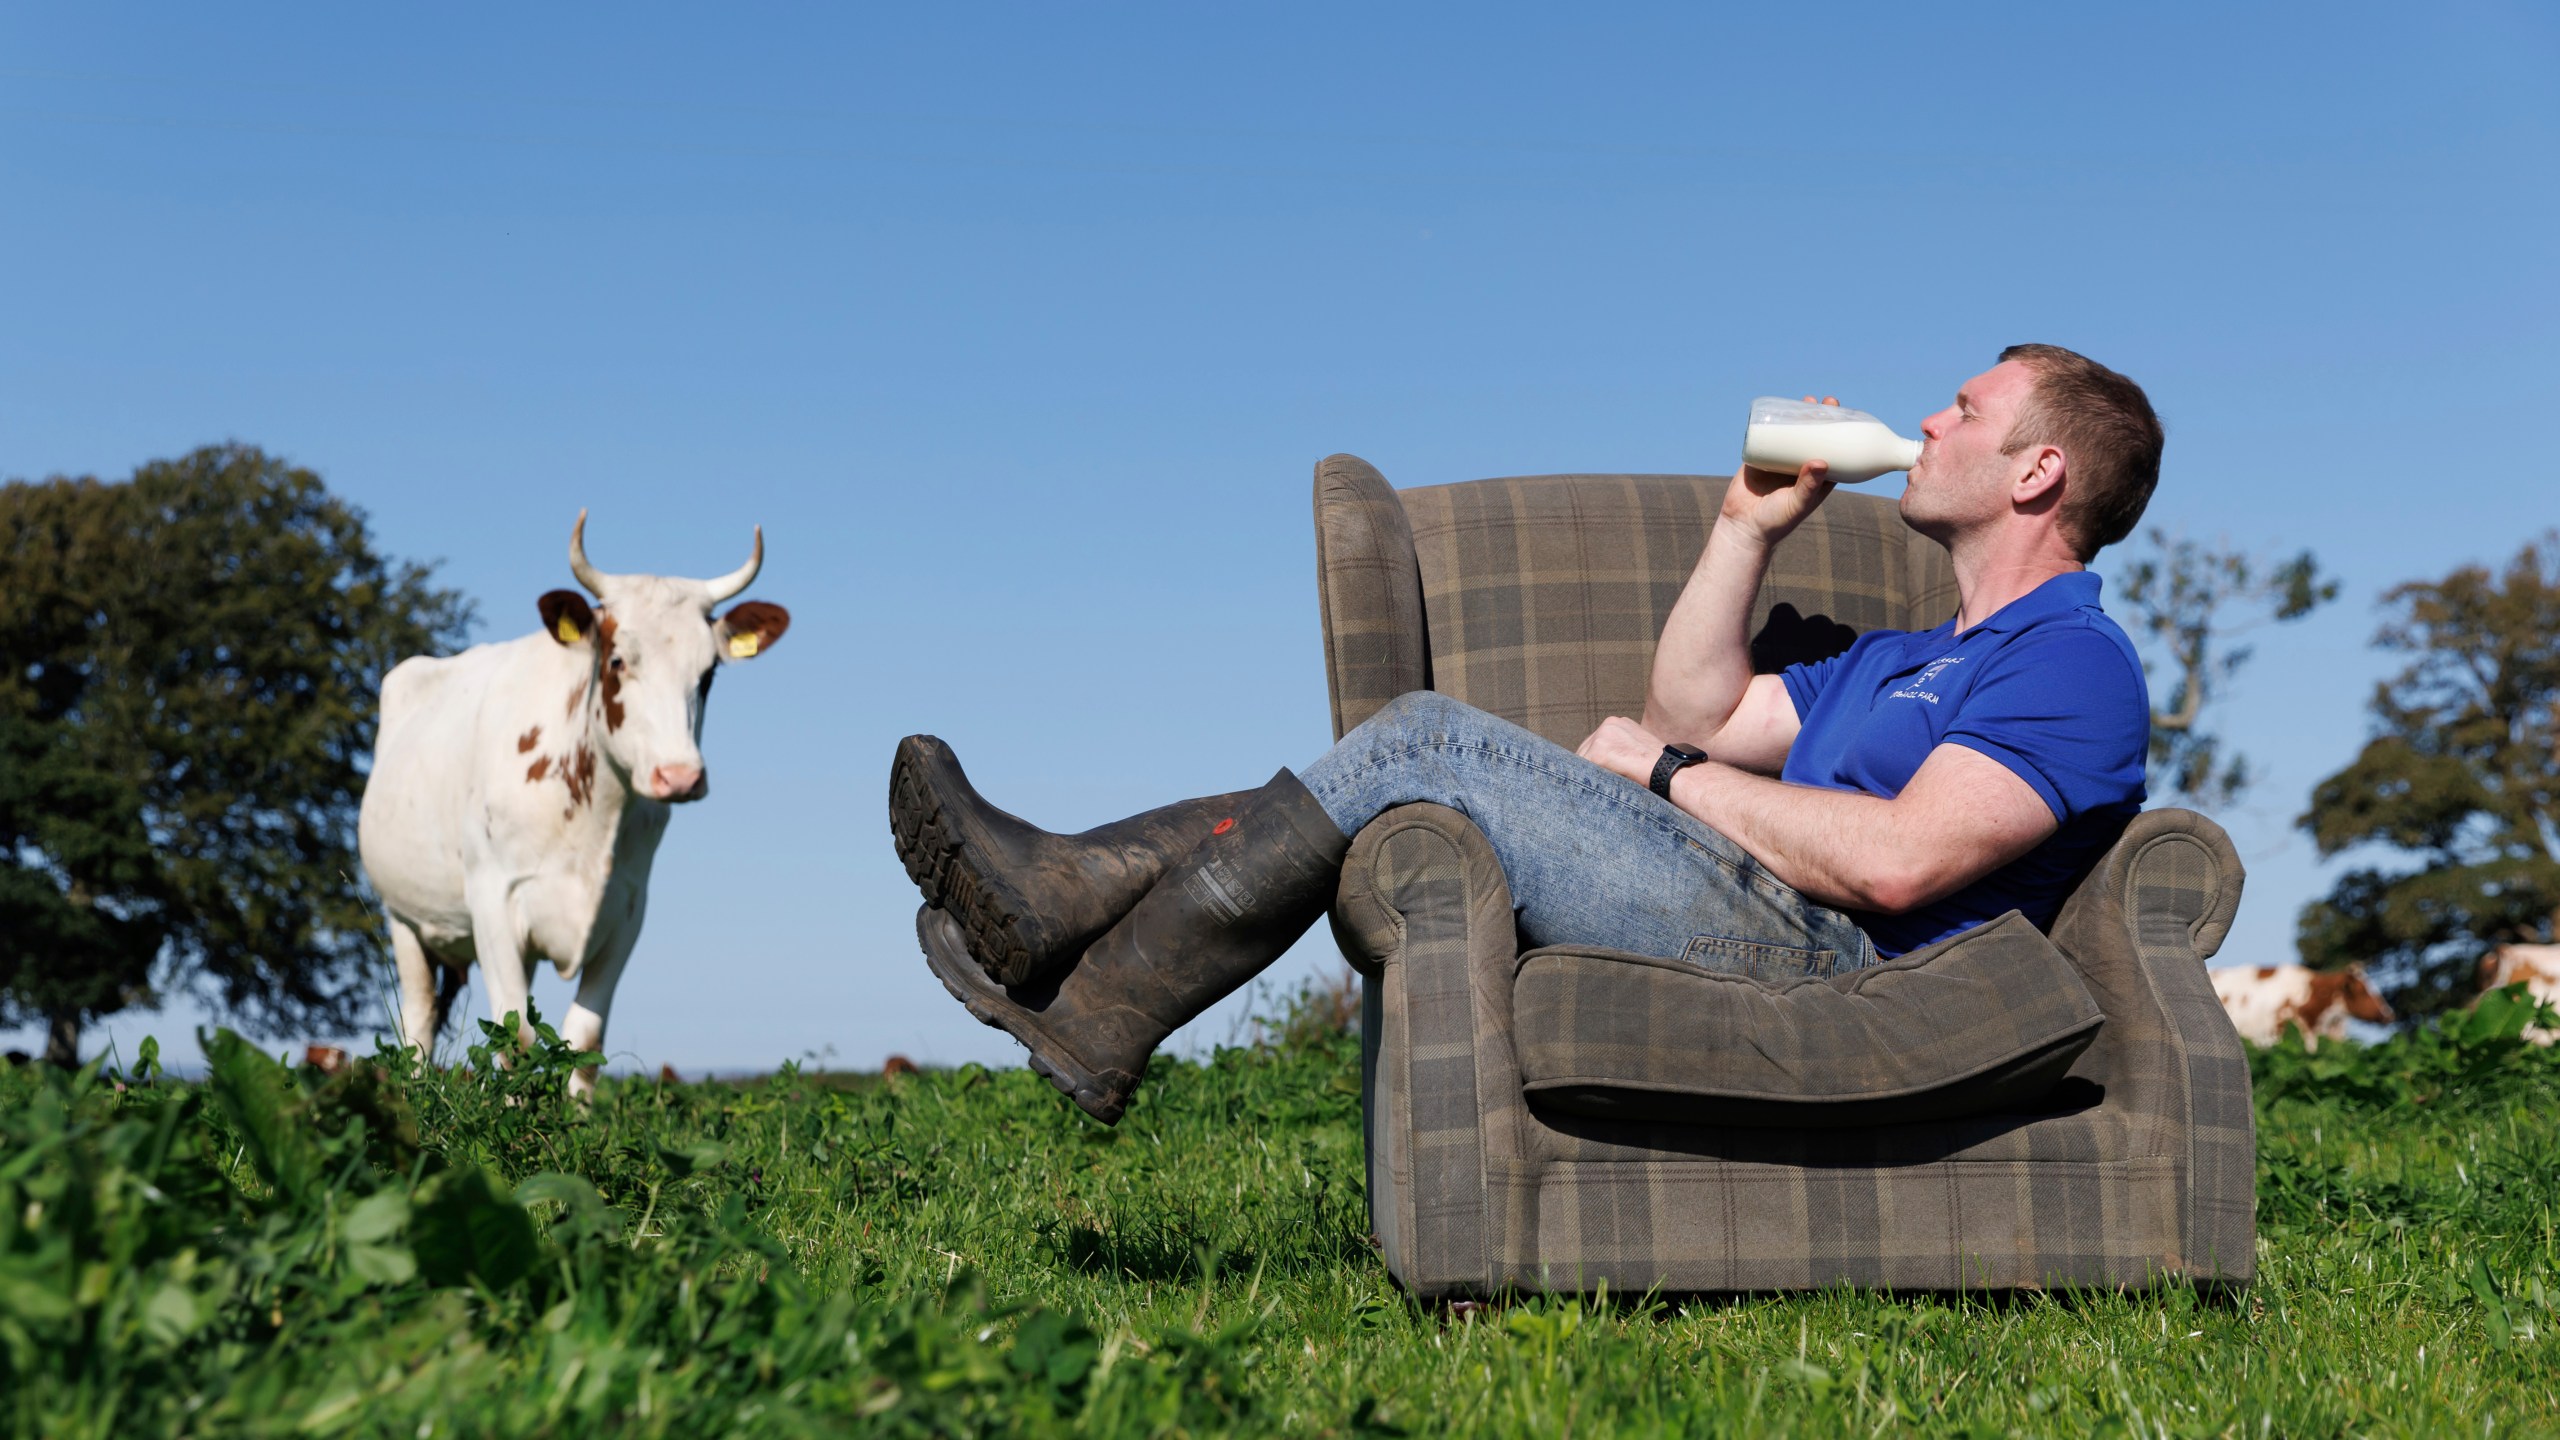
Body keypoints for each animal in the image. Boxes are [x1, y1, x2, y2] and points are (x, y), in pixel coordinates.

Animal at [355, 509, 783, 1091]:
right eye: (618, 660)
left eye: (709, 673)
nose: (679, 776)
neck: (591, 821)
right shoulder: (492, 898)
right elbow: (515, 1038)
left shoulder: (627, 912)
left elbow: (583, 1039)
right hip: (403, 917)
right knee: (418, 1021)